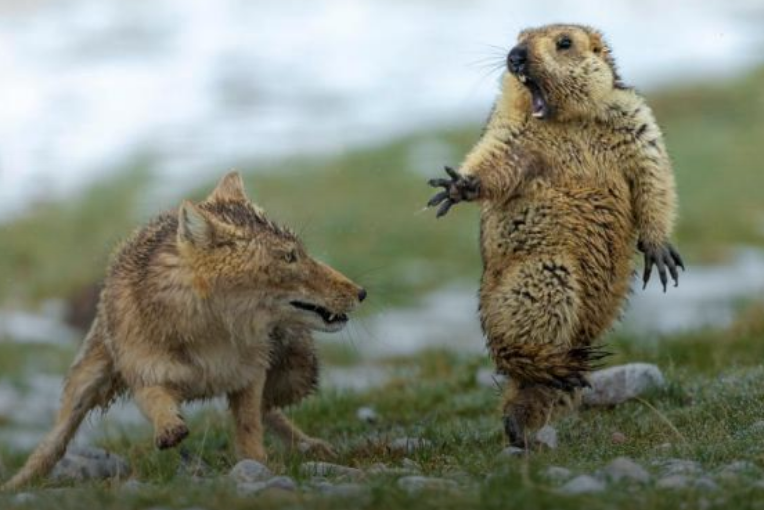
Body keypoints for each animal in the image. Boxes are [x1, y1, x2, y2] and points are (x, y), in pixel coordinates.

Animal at [2, 172, 368, 490]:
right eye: (289, 258)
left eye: (300, 253)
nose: (362, 292)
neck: (212, 337)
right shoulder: (146, 376)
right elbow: (157, 402)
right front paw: (169, 428)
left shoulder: (249, 376)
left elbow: (250, 428)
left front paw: (259, 467)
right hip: (85, 384)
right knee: (52, 443)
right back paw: (18, 483)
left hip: (297, 374)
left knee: (271, 409)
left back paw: (311, 446)